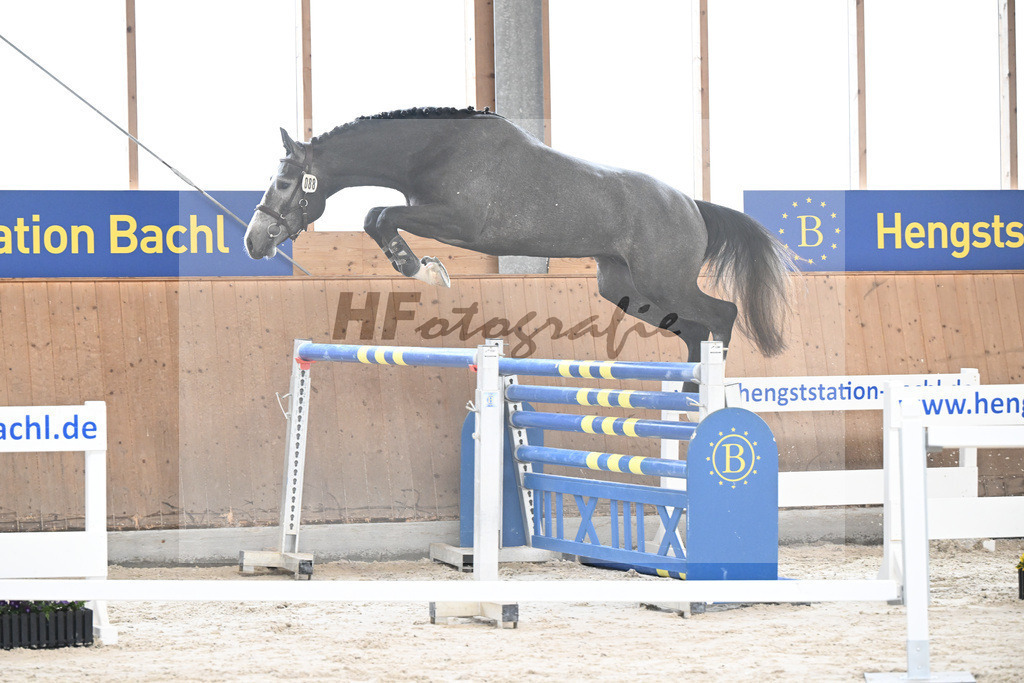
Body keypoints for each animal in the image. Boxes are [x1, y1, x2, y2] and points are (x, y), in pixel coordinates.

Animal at [244, 106, 794, 363]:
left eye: (285, 181)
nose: (254, 241)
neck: (434, 147)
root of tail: (690, 205)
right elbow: (377, 216)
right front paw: (422, 268)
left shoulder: (460, 223)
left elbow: (379, 215)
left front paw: (421, 269)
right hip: (627, 290)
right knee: (696, 330)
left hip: (665, 283)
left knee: (722, 315)